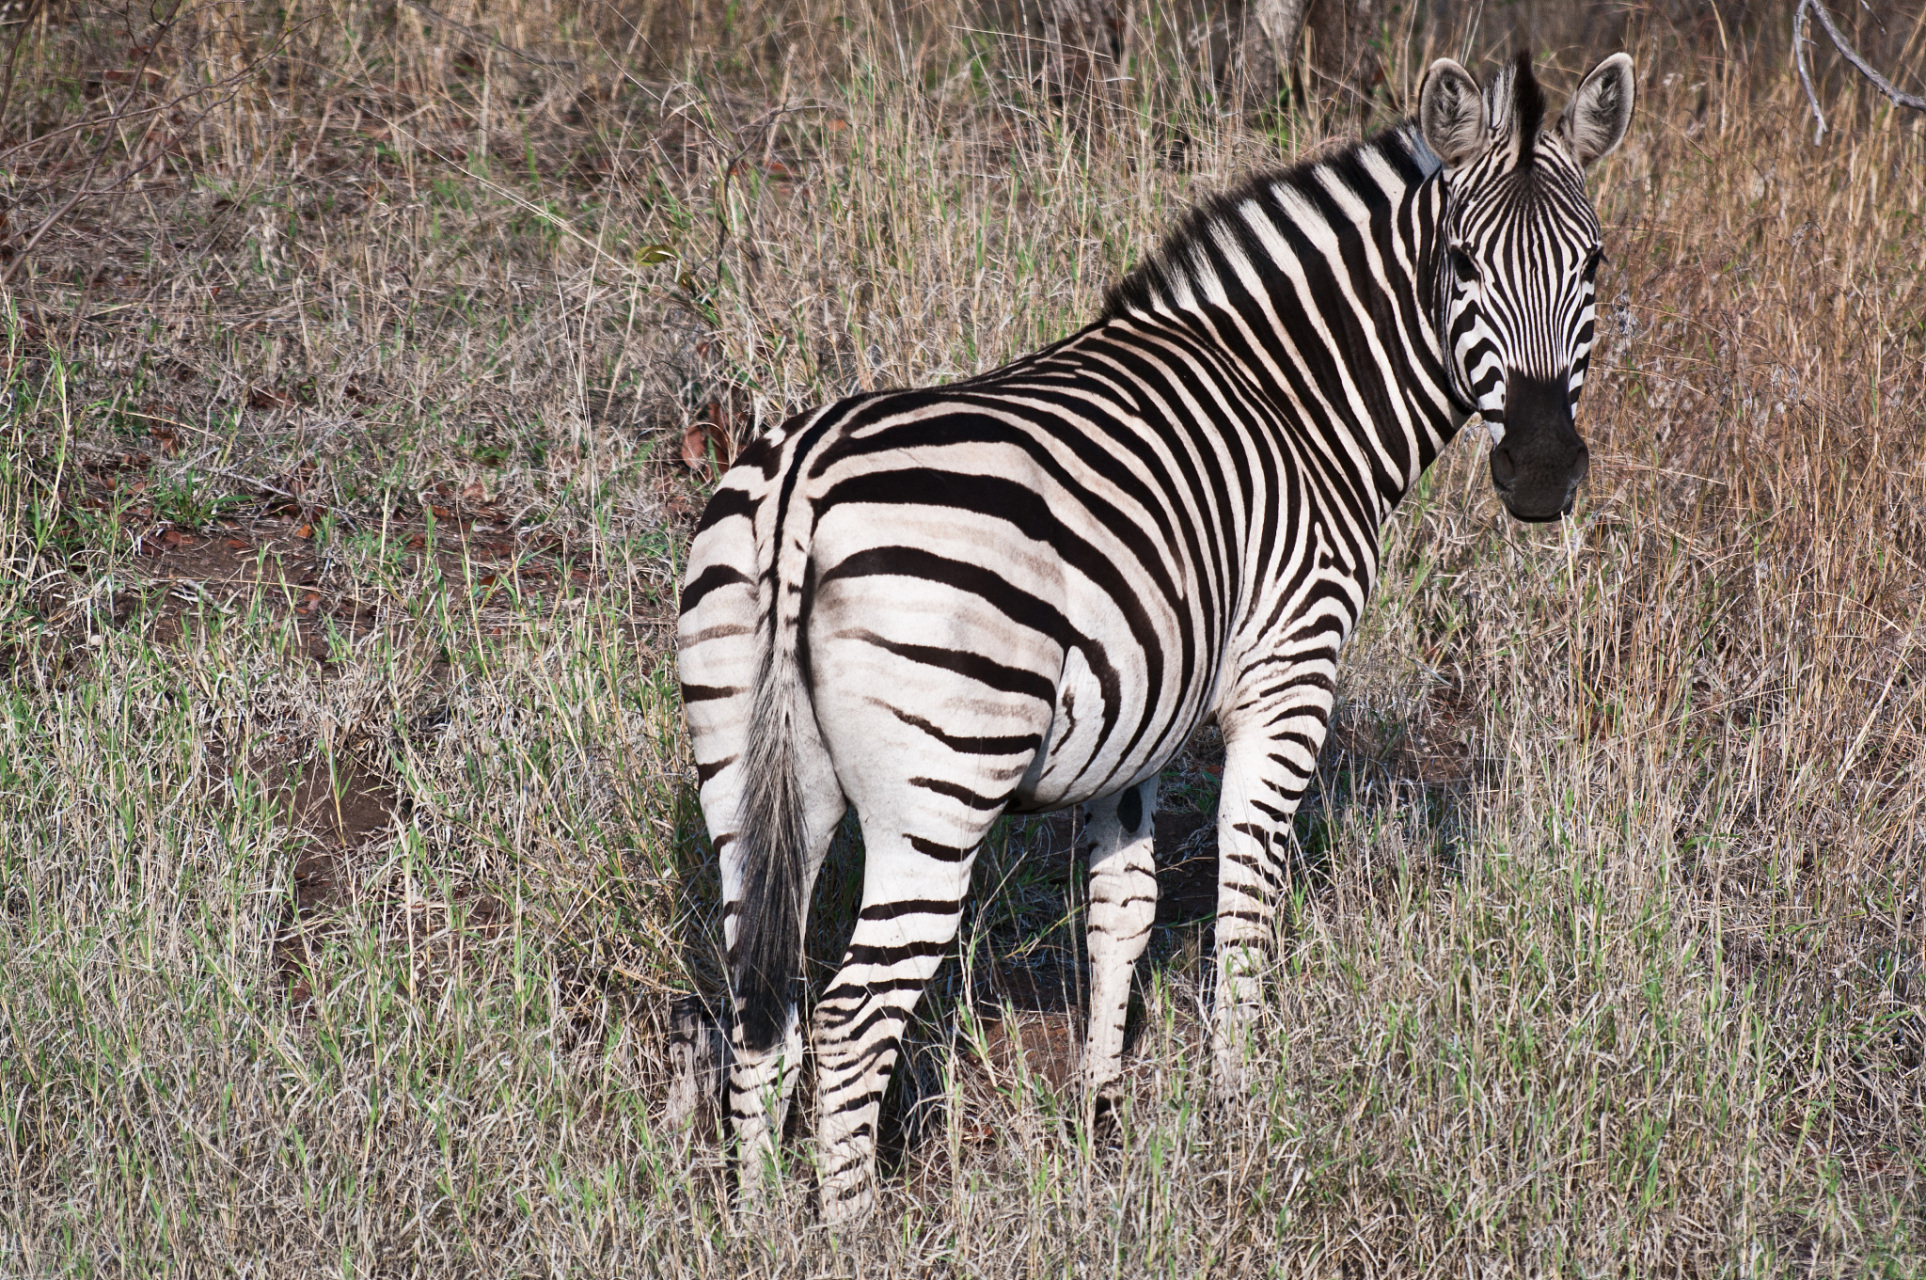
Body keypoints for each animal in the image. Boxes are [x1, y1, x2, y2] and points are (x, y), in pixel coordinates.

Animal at [676, 50, 1635, 1220]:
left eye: (1593, 262)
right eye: (1460, 263)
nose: (1542, 475)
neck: (1294, 397)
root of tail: (798, 483)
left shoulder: (1135, 717)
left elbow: (1121, 906)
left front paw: (1101, 1118)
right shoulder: (1287, 672)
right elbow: (1245, 888)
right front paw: (1243, 1110)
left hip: (747, 772)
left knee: (757, 1003)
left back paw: (760, 1221)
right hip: (937, 790)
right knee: (854, 1021)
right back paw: (852, 1229)